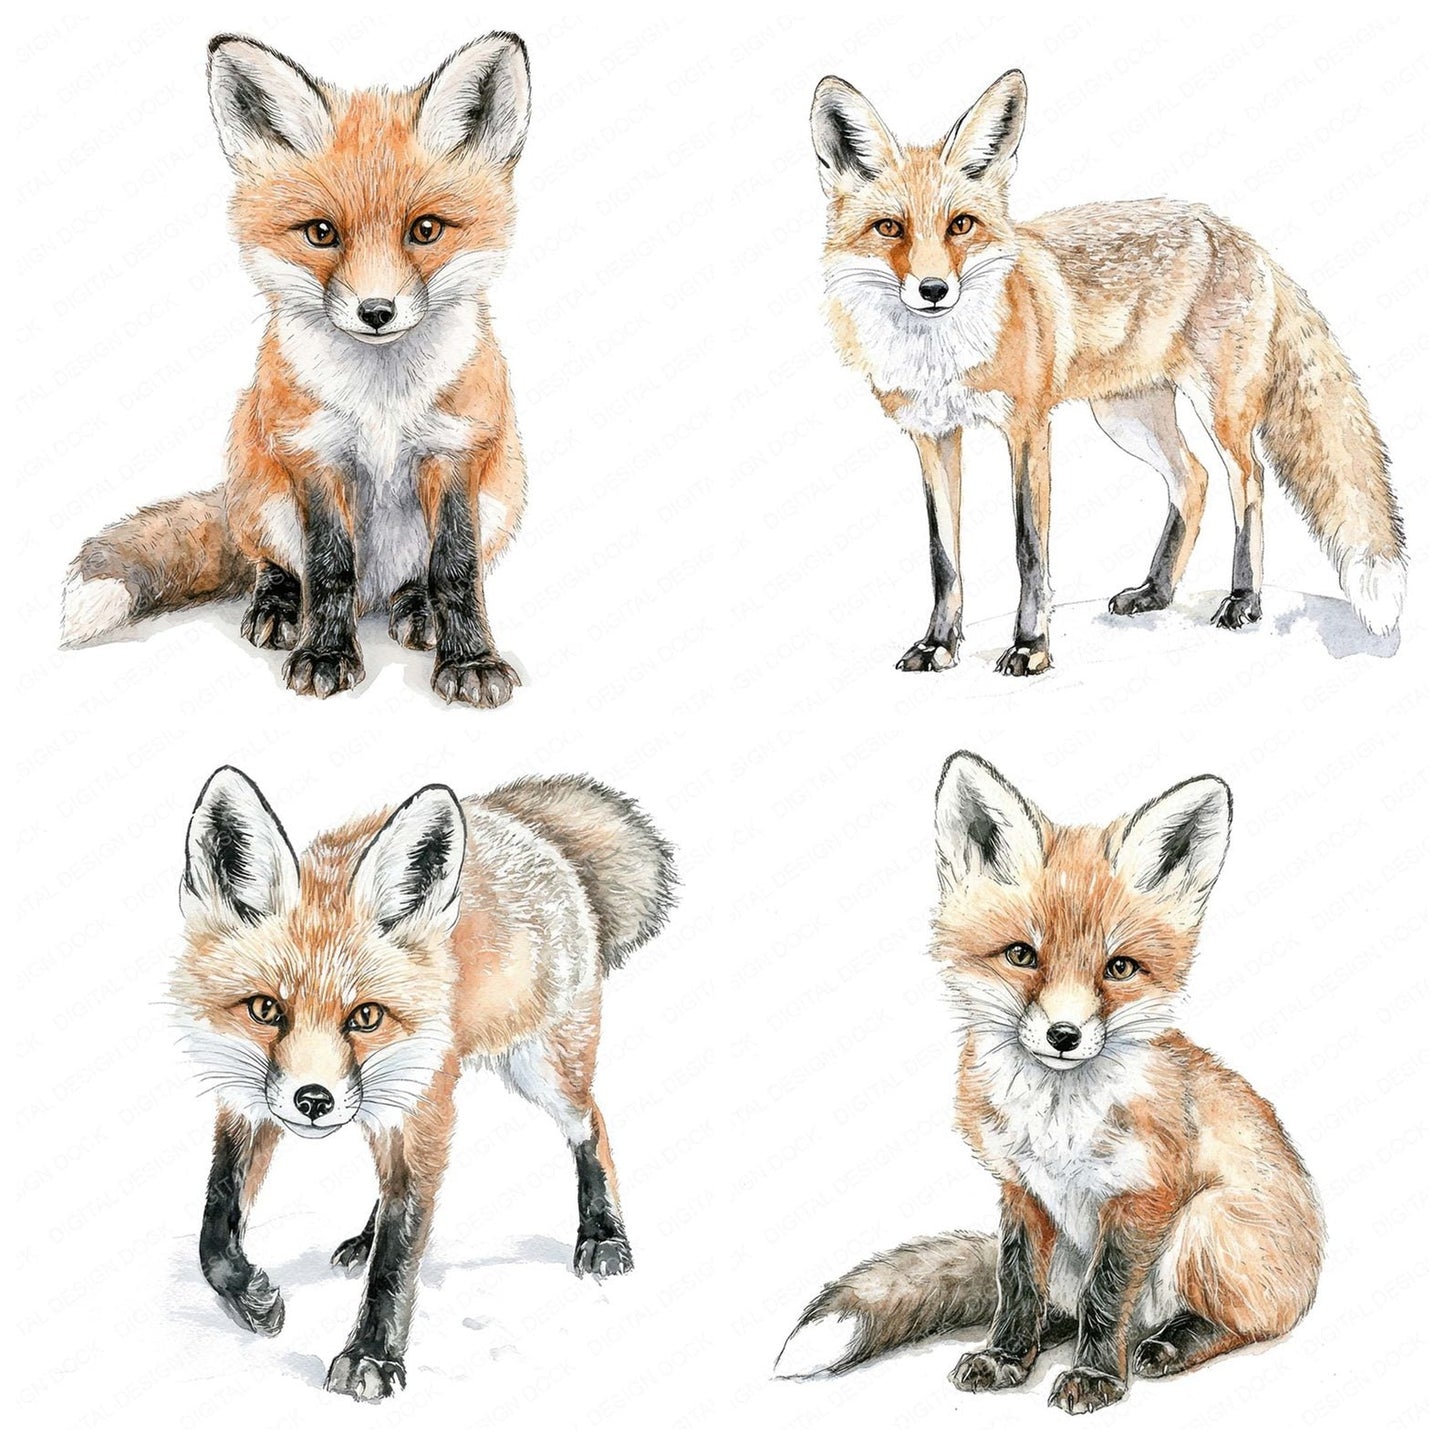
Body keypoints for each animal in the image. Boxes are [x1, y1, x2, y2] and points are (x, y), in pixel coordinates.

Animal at [62, 35, 533, 706]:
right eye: (320, 232)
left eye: (425, 230)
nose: (376, 311)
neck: (382, 402)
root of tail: (377, 595)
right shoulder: (313, 452)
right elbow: (328, 568)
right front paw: (326, 654)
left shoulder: (458, 451)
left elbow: (457, 570)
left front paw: (470, 660)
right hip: (259, 483)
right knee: (280, 565)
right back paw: (279, 608)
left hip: (502, 493)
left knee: (417, 578)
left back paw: (415, 608)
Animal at [170, 766, 675, 1400]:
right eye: (265, 1009)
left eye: (366, 1016)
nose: (313, 1100)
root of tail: (524, 820)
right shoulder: (249, 1100)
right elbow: (215, 1226)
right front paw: (253, 1302)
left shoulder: (423, 1110)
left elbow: (399, 1252)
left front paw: (371, 1356)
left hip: (540, 1069)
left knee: (592, 1125)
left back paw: (605, 1234)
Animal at [777, 752, 1323, 1414]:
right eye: (1021, 955)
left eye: (1119, 968)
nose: (1064, 1035)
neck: (1057, 1121)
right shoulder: (1021, 1188)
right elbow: (1016, 1286)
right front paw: (1007, 1356)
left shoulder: (1143, 1194)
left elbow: (1105, 1296)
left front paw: (1094, 1376)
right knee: (1056, 1302)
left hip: (1206, 1226)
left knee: (1242, 1325)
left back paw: (1170, 1343)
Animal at [810, 70, 1406, 676]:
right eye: (889, 228)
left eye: (961, 225)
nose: (934, 290)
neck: (941, 356)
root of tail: (1238, 235)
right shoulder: (932, 434)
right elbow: (943, 556)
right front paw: (939, 643)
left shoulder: (1028, 428)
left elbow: (1029, 549)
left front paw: (1031, 646)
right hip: (1127, 416)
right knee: (1192, 478)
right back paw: (1156, 591)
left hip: (1218, 410)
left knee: (1248, 479)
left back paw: (1244, 599)